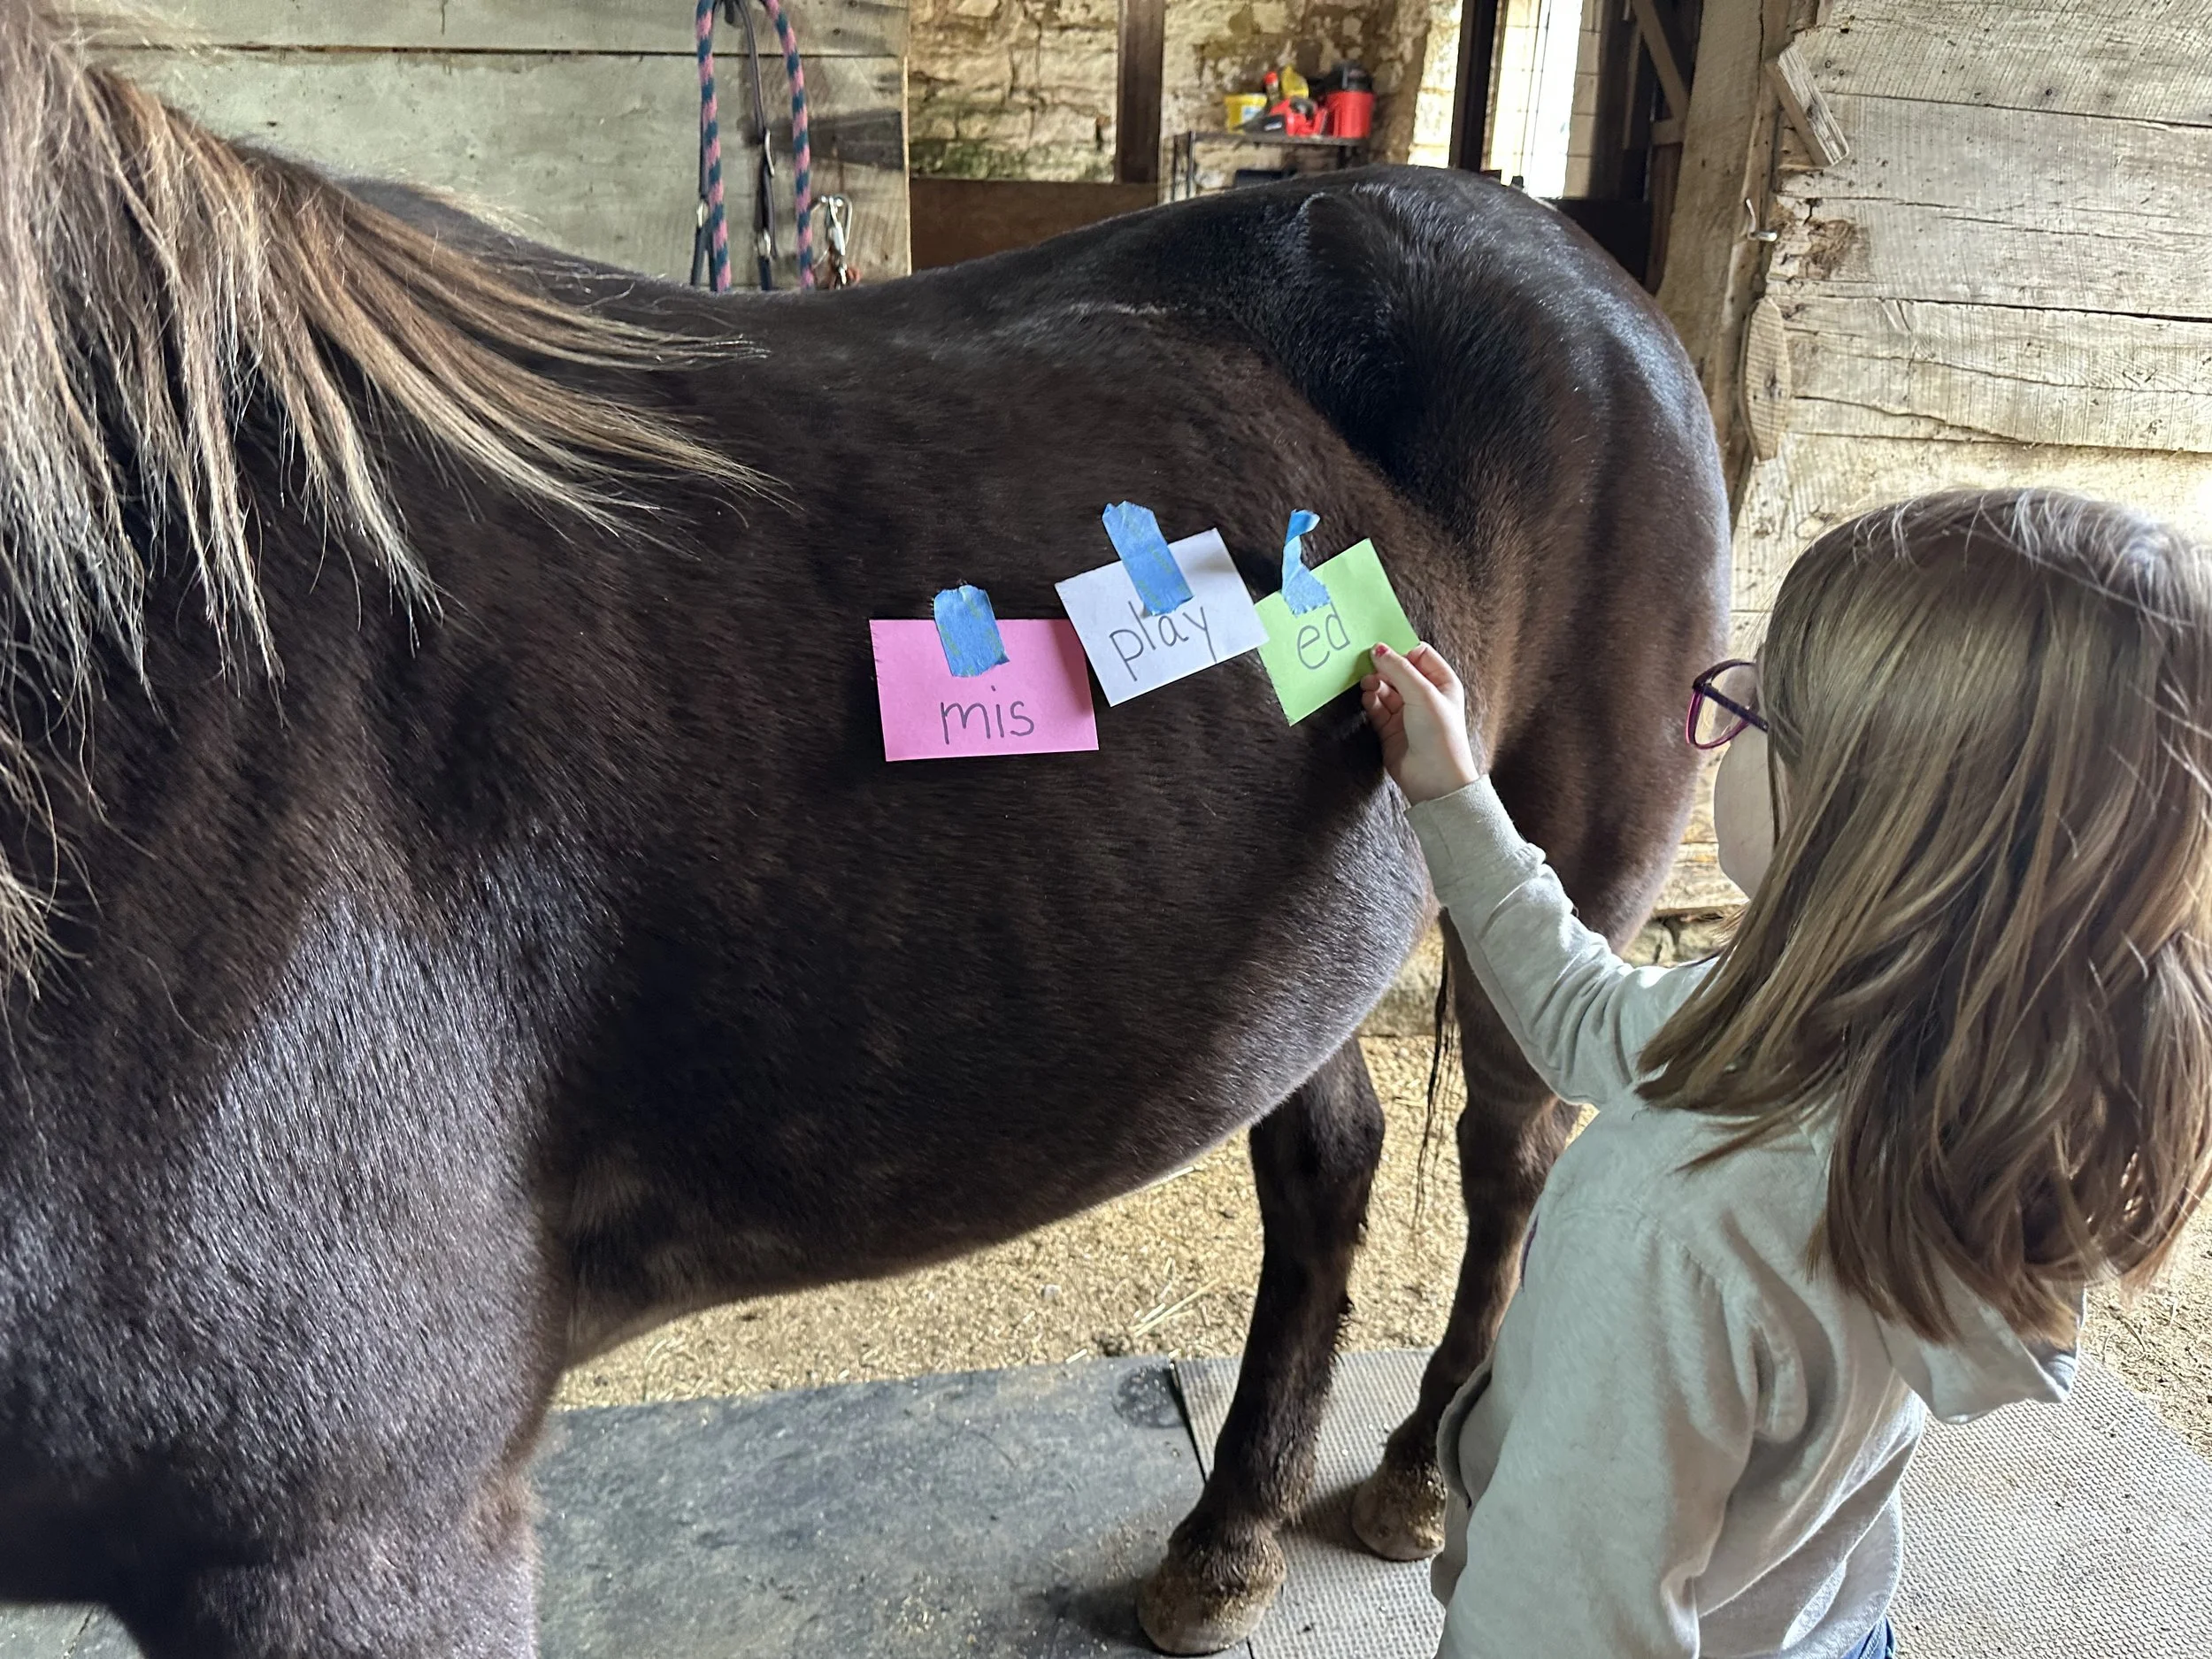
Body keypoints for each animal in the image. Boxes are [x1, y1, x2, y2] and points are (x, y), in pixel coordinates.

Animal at [0, 8, 1728, 1654]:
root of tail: (1583, 275)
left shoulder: (354, 1530)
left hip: (1575, 856)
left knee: (1515, 1156)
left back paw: (1417, 1471)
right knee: (1330, 1165)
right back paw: (1230, 1535)